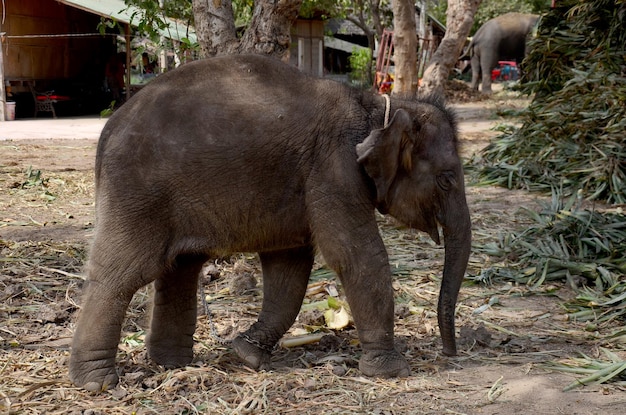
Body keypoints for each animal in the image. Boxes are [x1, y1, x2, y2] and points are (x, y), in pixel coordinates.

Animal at [68, 54, 468, 394]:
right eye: (447, 179)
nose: (450, 353)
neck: (376, 105)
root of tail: (108, 130)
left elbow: (289, 265)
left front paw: (246, 354)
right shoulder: (334, 168)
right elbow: (354, 255)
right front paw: (391, 372)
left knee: (179, 270)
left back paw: (173, 365)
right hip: (136, 194)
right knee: (123, 274)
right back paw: (97, 383)